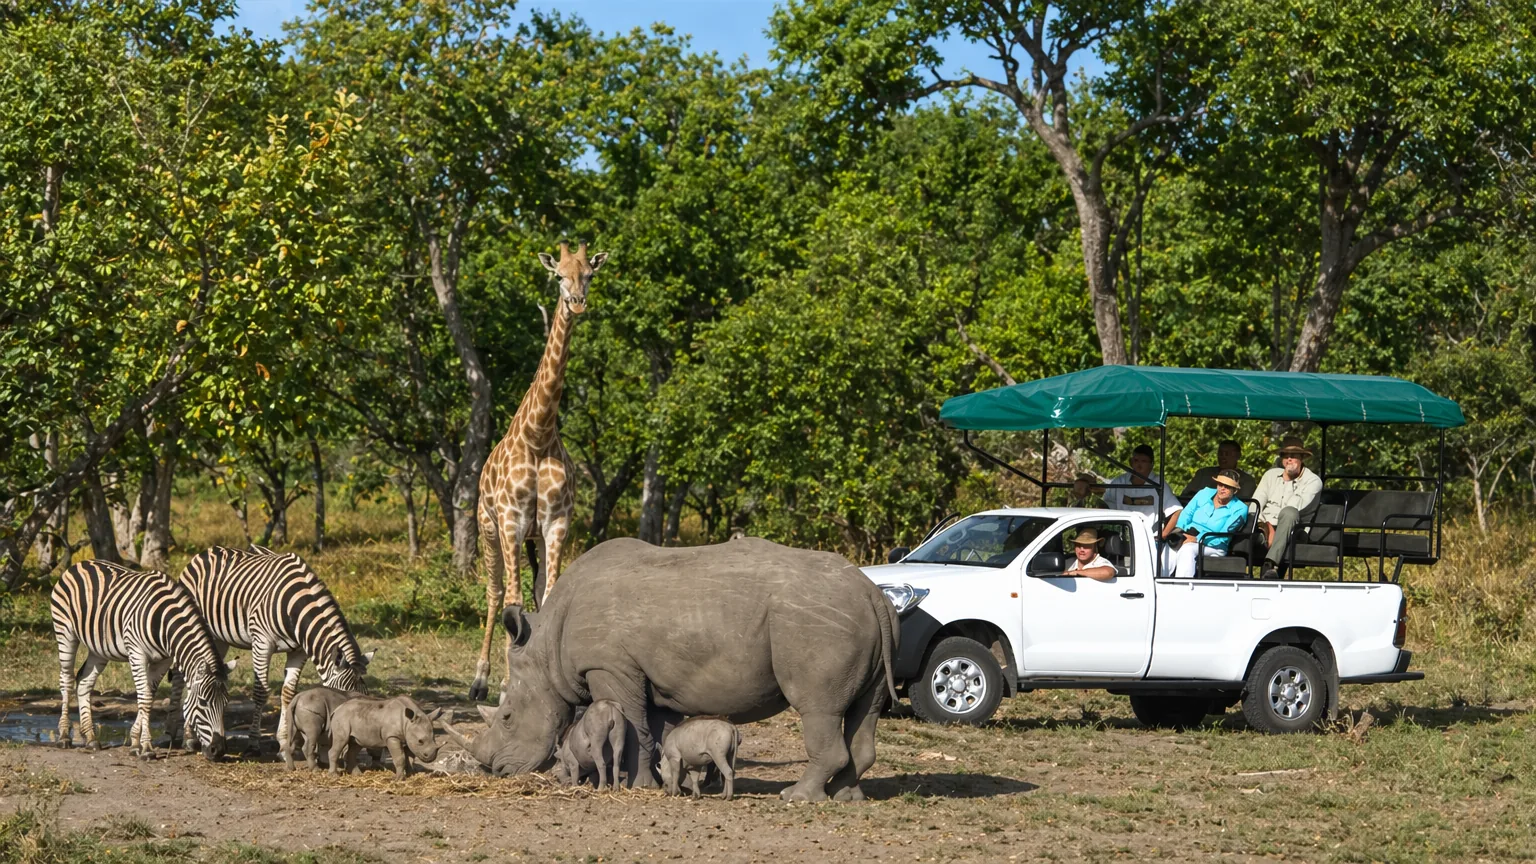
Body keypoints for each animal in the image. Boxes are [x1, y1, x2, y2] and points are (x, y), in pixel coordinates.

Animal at [50, 560, 234, 760]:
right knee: (66, 680)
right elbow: (144, 698)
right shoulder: (137, 653)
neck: (164, 622)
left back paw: (91, 738)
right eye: (203, 702)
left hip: (99, 648)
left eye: (226, 703)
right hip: (65, 632)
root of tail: (80, 563)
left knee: (84, 683)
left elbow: (148, 697)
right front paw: (146, 748)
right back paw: (63, 737)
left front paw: (135, 743)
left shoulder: (163, 661)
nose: (219, 750)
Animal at [170, 545, 373, 746]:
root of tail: (206, 551)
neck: (296, 607)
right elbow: (261, 692)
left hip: (219, 638)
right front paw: (253, 743)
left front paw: (284, 741)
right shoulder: (262, 643)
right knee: (180, 677)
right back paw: (180, 734)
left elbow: (288, 693)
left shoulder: (299, 651)